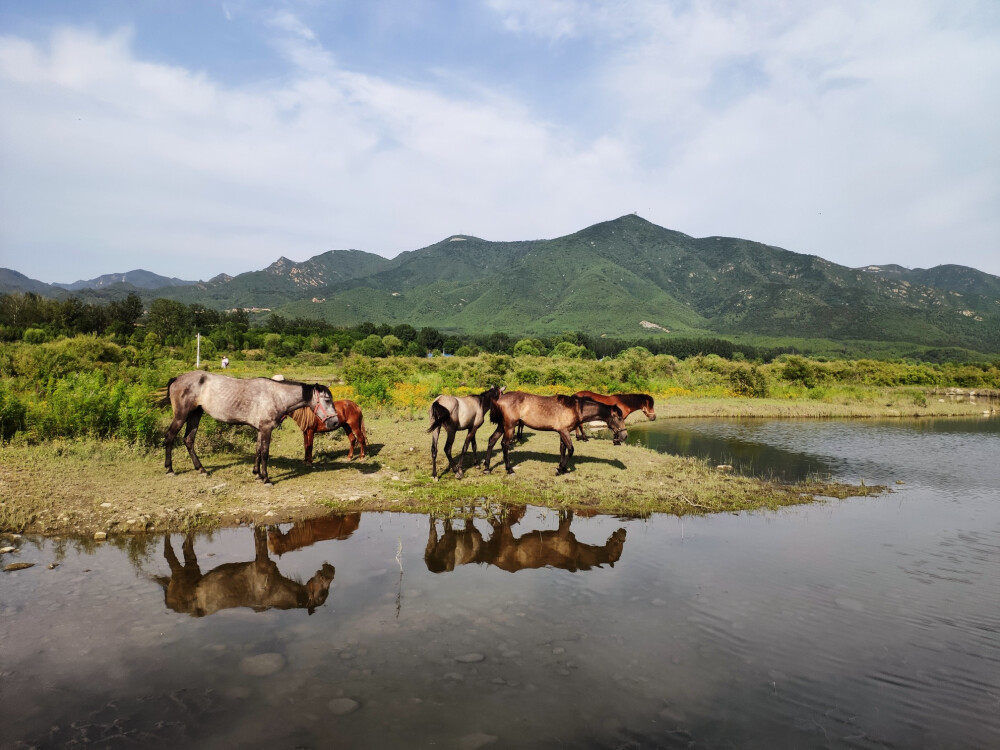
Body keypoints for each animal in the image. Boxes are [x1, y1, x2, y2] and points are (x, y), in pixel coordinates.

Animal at [154, 524, 336, 620]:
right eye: (323, 591)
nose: (332, 569)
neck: (275, 590)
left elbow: (258, 536)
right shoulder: (262, 561)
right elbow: (260, 535)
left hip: (192, 571)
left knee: (185, 548)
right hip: (181, 575)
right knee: (169, 553)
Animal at [161, 372, 340, 488]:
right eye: (327, 400)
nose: (335, 422)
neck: (276, 396)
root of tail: (177, 379)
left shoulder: (261, 429)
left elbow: (258, 451)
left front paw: (257, 474)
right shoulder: (266, 429)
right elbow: (265, 453)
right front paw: (266, 479)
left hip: (195, 414)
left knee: (188, 440)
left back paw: (201, 469)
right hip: (181, 415)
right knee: (170, 437)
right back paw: (169, 469)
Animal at [484, 394, 624, 476]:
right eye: (619, 418)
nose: (624, 436)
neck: (575, 408)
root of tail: (499, 399)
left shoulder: (562, 432)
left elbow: (563, 450)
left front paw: (563, 469)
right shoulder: (564, 431)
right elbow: (570, 449)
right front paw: (560, 469)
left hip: (502, 426)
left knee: (492, 440)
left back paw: (486, 468)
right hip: (509, 426)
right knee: (505, 444)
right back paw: (509, 469)